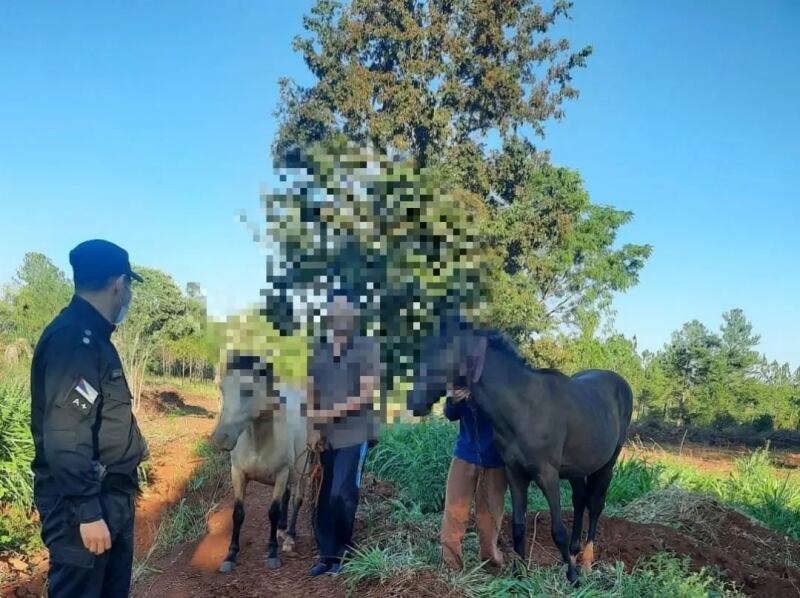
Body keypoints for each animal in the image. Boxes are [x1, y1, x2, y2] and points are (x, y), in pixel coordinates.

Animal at [410, 322, 636, 584]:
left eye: (442, 350)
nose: (414, 403)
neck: (525, 407)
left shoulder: (548, 476)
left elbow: (557, 529)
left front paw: (572, 576)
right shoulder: (515, 474)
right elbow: (518, 525)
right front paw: (519, 573)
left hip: (607, 465)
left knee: (595, 505)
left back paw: (586, 562)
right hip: (577, 469)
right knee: (580, 501)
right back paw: (573, 552)